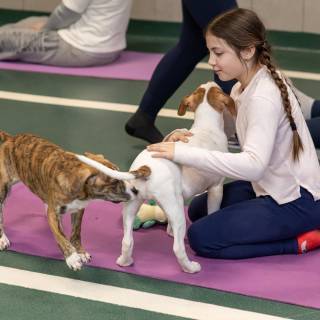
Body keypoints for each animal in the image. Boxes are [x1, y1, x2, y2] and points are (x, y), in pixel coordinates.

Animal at [0, 130, 149, 270]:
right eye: (114, 182)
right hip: (3, 190)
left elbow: (76, 232)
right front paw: (72, 257)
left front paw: (80, 252)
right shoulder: (53, 214)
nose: (136, 190)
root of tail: (10, 139)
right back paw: (2, 238)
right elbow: (61, 237)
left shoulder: (78, 210)